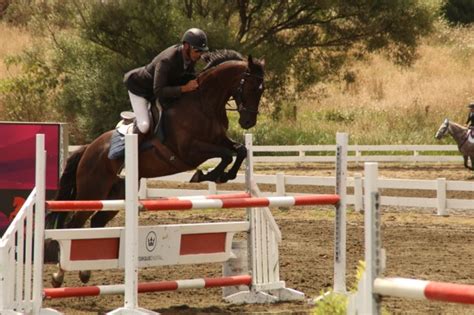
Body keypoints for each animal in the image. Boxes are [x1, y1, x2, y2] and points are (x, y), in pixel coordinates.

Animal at [46, 50, 264, 288]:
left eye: (262, 90)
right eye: (251, 87)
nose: (248, 122)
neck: (204, 103)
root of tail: (88, 149)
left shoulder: (219, 140)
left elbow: (240, 150)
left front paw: (225, 174)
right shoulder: (190, 151)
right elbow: (225, 154)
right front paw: (207, 175)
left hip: (117, 193)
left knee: (96, 222)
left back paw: (85, 272)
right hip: (92, 190)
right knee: (73, 224)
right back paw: (58, 277)